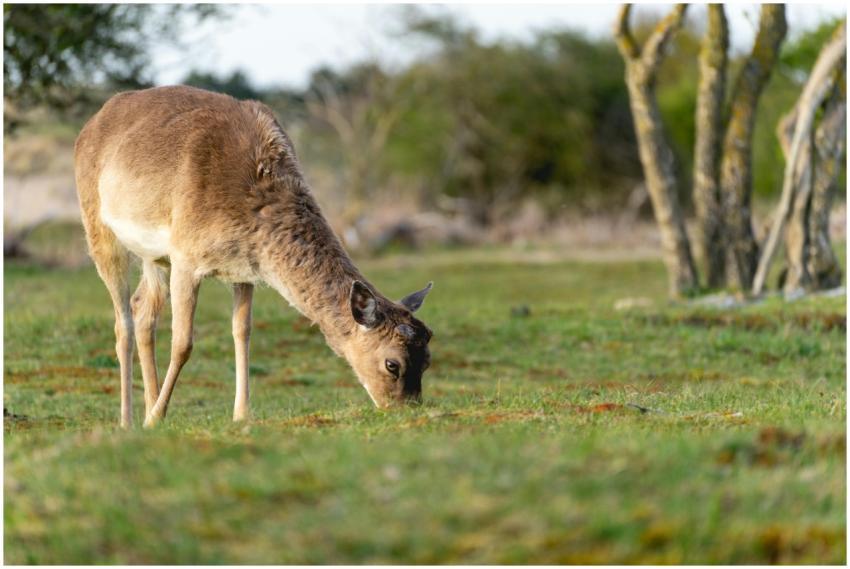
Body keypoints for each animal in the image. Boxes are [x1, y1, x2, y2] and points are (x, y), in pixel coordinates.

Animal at [74, 85, 433, 428]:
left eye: (428, 360)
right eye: (392, 364)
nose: (405, 410)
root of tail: (89, 125)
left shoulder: (244, 270)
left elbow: (242, 332)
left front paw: (241, 414)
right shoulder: (185, 255)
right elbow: (183, 342)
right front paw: (156, 418)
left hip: (154, 257)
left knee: (143, 309)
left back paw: (148, 404)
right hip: (98, 228)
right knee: (122, 322)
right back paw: (129, 420)